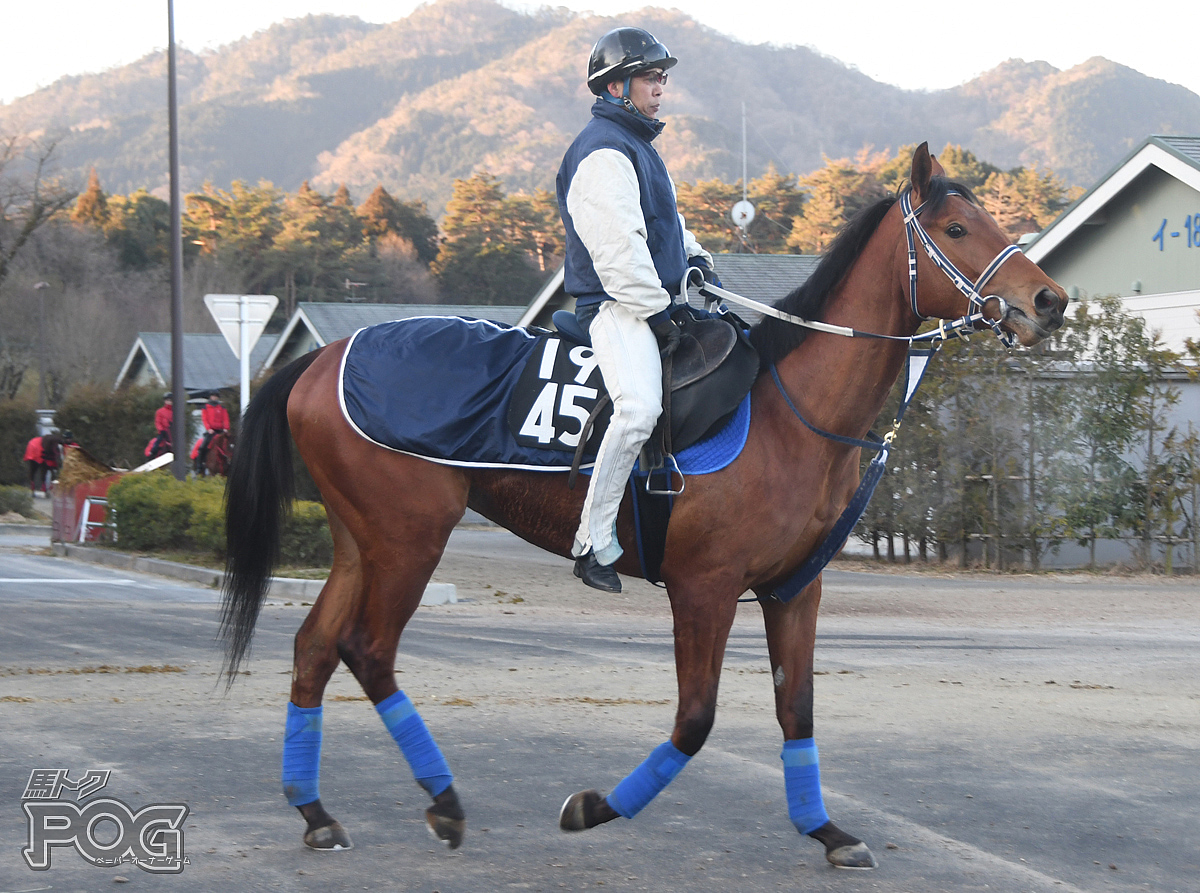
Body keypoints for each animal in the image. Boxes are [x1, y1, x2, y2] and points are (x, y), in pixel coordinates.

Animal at [218, 146, 1070, 873]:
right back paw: (445, 800)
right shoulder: (706, 589)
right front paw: (595, 805)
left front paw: (828, 830)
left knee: (314, 648)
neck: (787, 410)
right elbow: (695, 720)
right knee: (368, 649)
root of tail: (321, 357)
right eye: (957, 228)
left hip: (361, 540)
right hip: (408, 540)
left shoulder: (795, 588)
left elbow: (797, 708)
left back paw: (316, 811)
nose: (1050, 299)